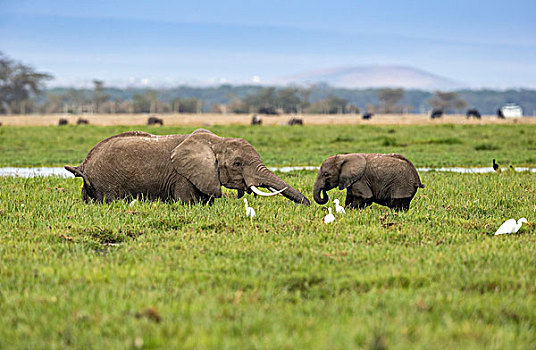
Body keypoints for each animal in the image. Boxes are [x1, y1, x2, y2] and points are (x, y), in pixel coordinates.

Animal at [65, 129, 310, 205]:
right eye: (237, 164)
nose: (309, 204)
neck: (216, 141)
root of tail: (84, 164)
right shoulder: (182, 176)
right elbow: (188, 203)